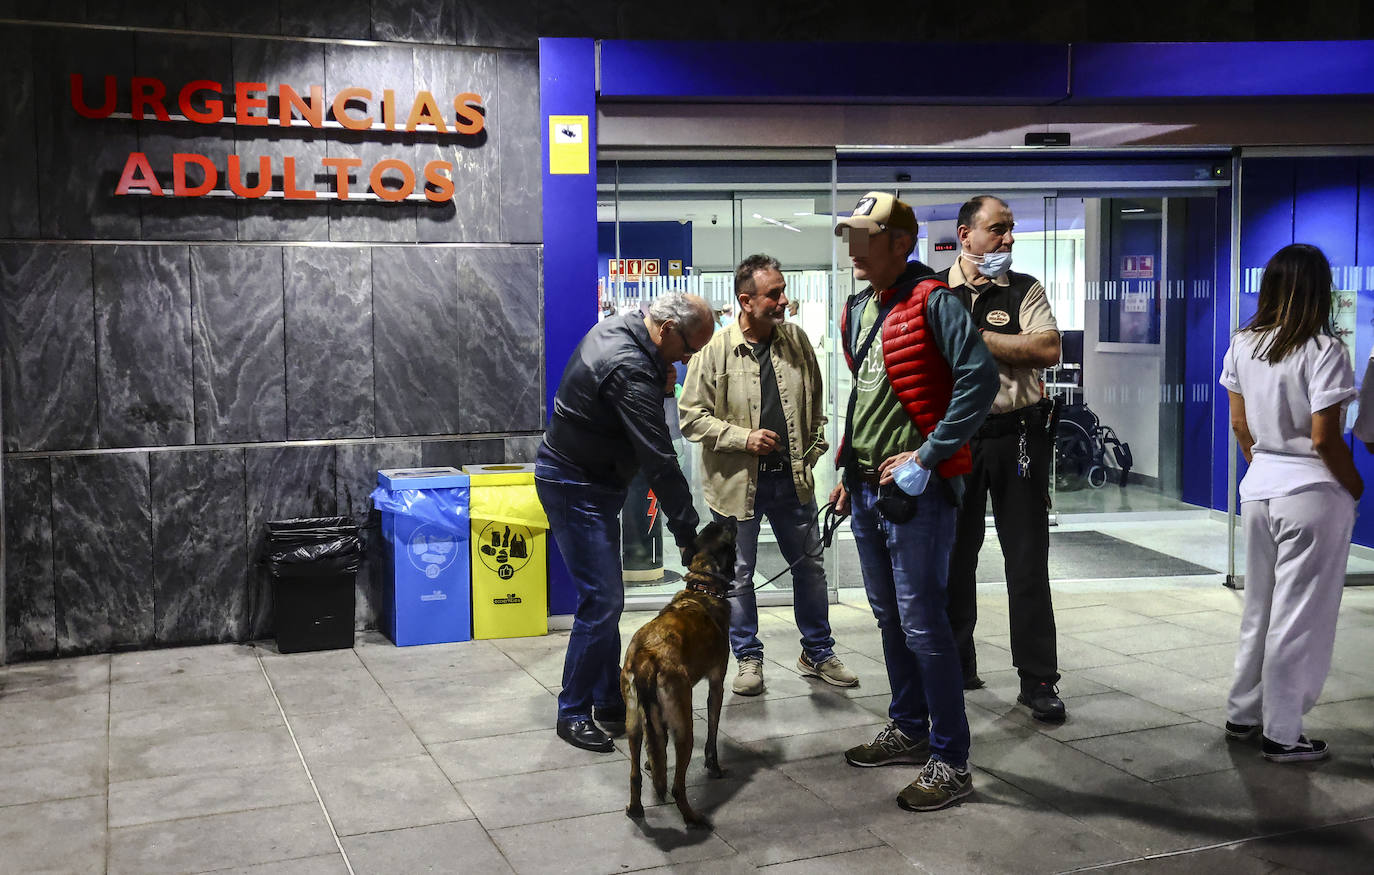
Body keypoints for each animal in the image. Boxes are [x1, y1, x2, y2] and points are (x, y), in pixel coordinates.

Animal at [621, 519, 736, 824]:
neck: (703, 587)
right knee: (676, 786)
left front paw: (653, 764)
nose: (731, 517)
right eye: (728, 530)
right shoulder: (716, 684)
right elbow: (712, 734)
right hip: (684, 726)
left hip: (633, 723)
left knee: (634, 775)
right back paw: (693, 818)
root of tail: (647, 657)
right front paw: (714, 767)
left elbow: (655, 749)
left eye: (712, 526)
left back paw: (635, 808)